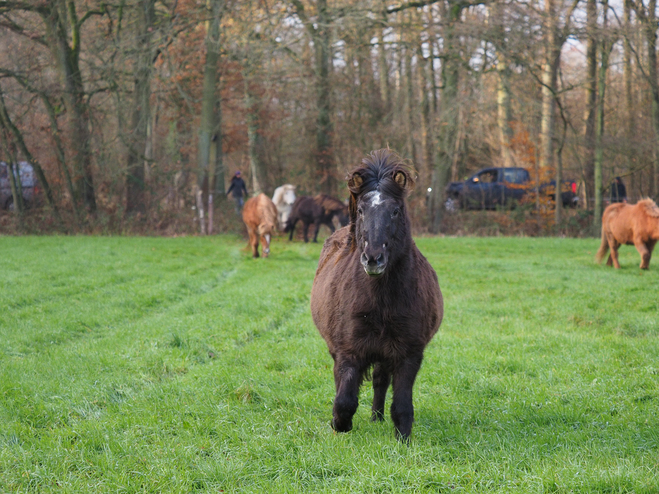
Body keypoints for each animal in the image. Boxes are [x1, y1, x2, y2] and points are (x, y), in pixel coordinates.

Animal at [310, 150, 444, 440]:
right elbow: (344, 400)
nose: (373, 258)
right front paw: (340, 427)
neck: (380, 299)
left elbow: (402, 405)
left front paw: (402, 438)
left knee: (381, 381)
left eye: (395, 210)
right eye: (361, 210)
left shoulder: (408, 354)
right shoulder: (348, 351)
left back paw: (376, 417)